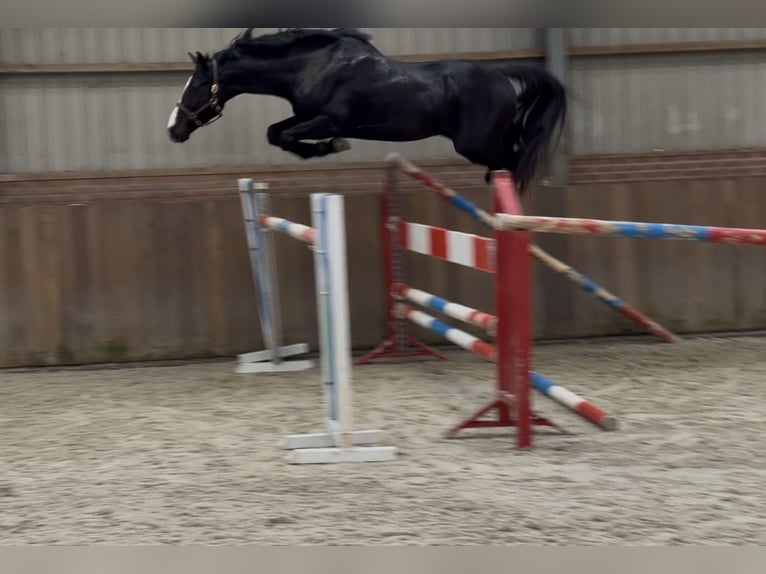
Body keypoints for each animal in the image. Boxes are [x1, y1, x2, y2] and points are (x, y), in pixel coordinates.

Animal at [167, 28, 567, 192]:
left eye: (198, 85)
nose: (173, 130)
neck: (314, 65)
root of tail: (501, 75)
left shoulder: (331, 120)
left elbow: (289, 135)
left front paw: (332, 146)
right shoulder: (306, 115)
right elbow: (276, 133)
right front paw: (324, 149)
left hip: (475, 144)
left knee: (515, 156)